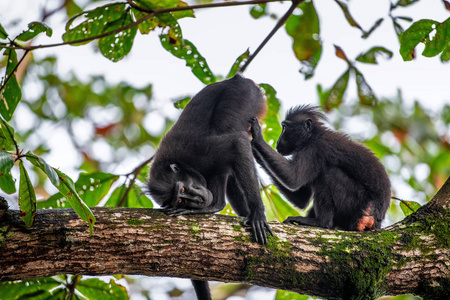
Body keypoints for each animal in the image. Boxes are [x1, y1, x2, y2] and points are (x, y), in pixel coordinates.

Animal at [149, 74, 274, 298]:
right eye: (180, 199)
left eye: (182, 190)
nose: (196, 199)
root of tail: (237, 78)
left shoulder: (199, 151)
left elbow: (237, 143)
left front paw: (258, 213)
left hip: (244, 94)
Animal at [250, 105, 390, 232]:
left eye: (284, 127)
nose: (278, 142)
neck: (312, 136)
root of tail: (376, 218)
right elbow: (302, 199)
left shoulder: (314, 149)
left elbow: (293, 178)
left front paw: (257, 138)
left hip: (357, 205)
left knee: (329, 174)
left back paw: (321, 222)